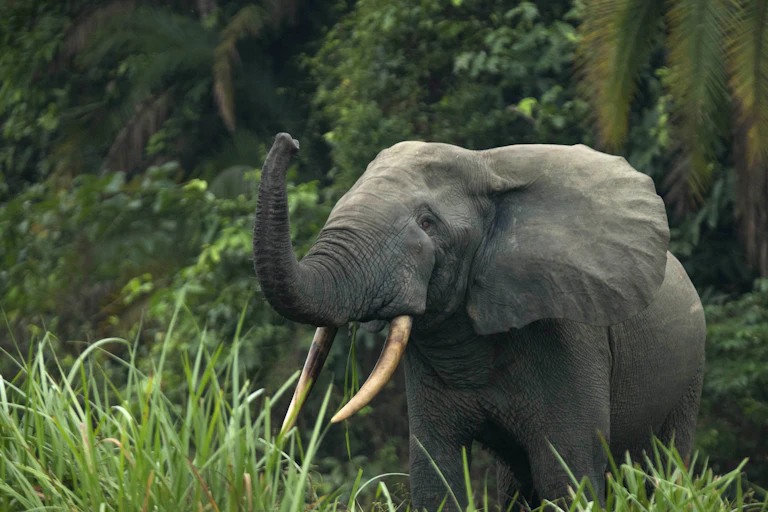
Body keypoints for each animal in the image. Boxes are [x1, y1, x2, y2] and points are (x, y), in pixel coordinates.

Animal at [252, 133, 706, 510]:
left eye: (427, 222)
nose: (289, 142)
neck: (486, 167)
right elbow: (435, 475)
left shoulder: (569, 334)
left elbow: (567, 472)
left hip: (689, 378)